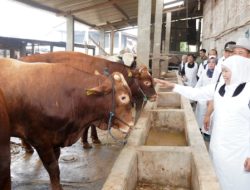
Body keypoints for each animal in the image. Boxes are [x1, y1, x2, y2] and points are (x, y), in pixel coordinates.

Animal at [20, 51, 156, 148]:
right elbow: (89, 125)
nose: (155, 96)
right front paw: (87, 141)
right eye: (147, 82)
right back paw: (27, 147)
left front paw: (93, 139)